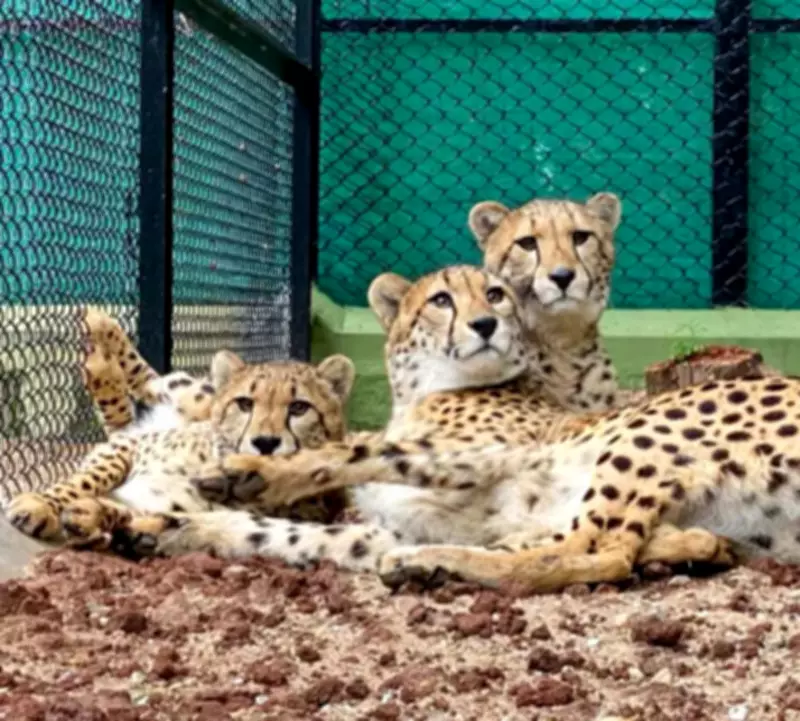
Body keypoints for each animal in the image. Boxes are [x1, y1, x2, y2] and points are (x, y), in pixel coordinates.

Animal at [4, 307, 354, 548]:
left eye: (299, 408)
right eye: (245, 403)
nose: (265, 442)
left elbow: (145, 516)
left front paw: (92, 517)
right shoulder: (128, 447)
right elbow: (88, 478)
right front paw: (40, 505)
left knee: (124, 412)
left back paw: (100, 360)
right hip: (191, 394)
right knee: (151, 381)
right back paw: (102, 334)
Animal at [118, 265, 738, 583]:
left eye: (496, 295)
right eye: (441, 299)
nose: (486, 324)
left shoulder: (490, 457)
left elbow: (357, 452)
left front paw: (246, 473)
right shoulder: (389, 526)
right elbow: (285, 532)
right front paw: (175, 528)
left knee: (598, 552)